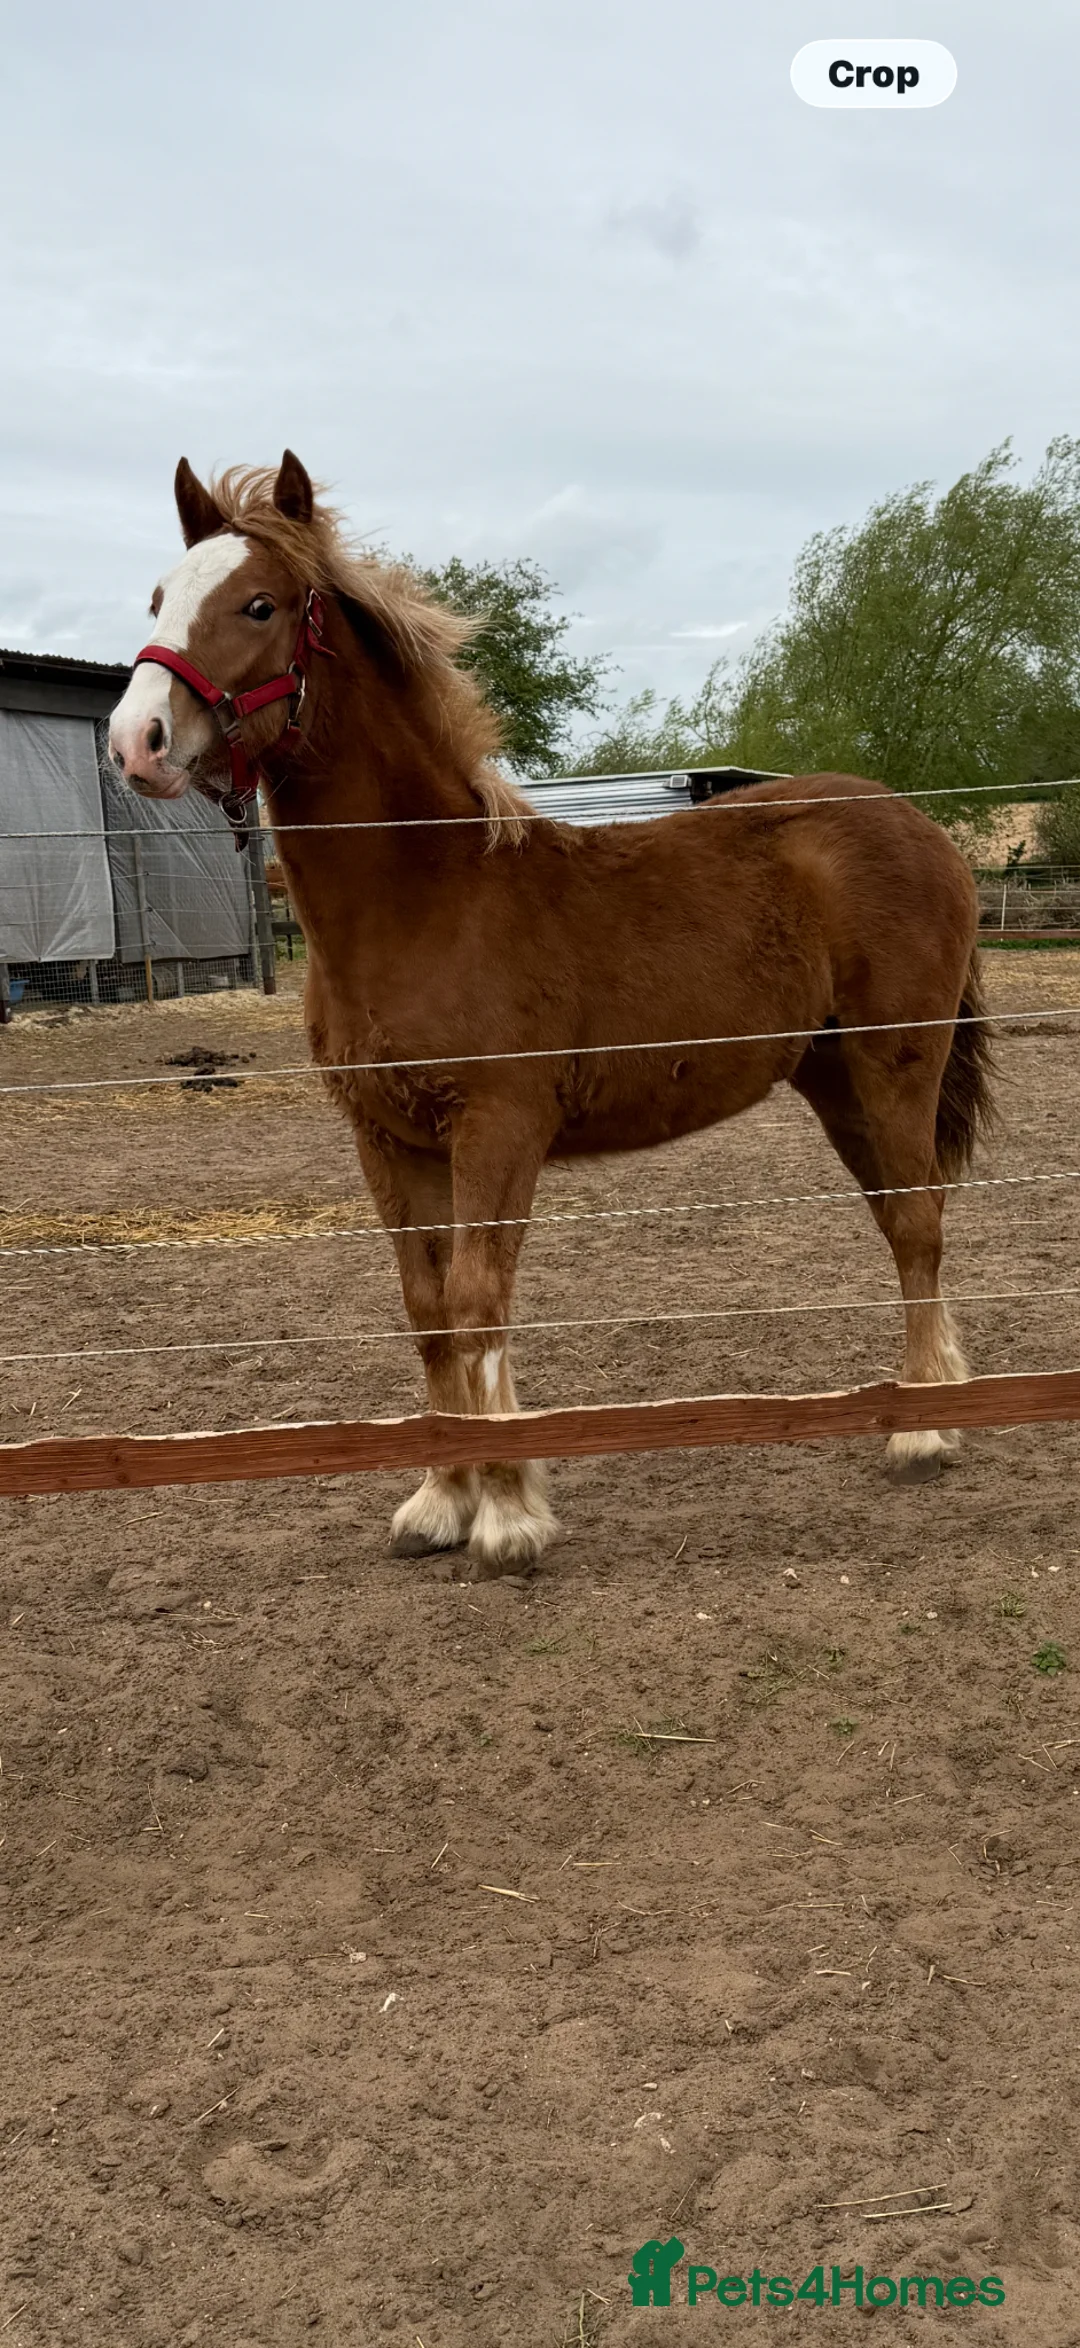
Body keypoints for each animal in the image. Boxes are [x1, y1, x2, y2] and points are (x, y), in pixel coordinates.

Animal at [108, 450, 994, 1577]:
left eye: (258, 603)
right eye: (158, 599)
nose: (136, 740)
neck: (427, 896)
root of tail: (921, 827)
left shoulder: (498, 1126)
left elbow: (480, 1302)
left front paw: (508, 1514)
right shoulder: (387, 1138)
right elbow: (428, 1307)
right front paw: (440, 1500)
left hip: (896, 1062)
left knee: (918, 1223)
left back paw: (923, 1431)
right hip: (833, 1076)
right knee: (900, 1215)